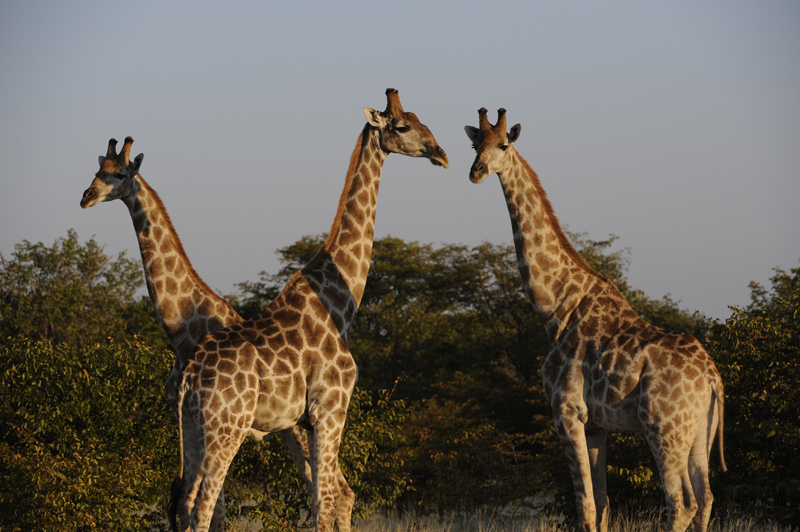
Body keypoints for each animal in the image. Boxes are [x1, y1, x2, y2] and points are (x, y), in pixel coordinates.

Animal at [80, 138, 312, 532]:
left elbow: (211, 507)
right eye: (97, 171)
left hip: (295, 428)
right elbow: (196, 504)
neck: (181, 334)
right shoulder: (187, 417)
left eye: (120, 174)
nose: (86, 196)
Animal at [173, 88, 450, 532]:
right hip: (226, 428)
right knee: (202, 507)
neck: (341, 302)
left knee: (185, 504)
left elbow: (329, 499)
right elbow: (324, 505)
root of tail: (190, 375)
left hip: (192, 429)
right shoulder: (330, 410)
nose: (441, 154)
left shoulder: (306, 421)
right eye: (403, 125)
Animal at [466, 109, 728, 532]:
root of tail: (712, 377)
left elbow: (585, 507)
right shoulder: (596, 425)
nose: (475, 172)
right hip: (699, 432)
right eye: (475, 144)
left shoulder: (567, 412)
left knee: (682, 502)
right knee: (705, 499)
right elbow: (603, 504)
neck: (555, 308)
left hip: (664, 429)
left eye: (503, 145)